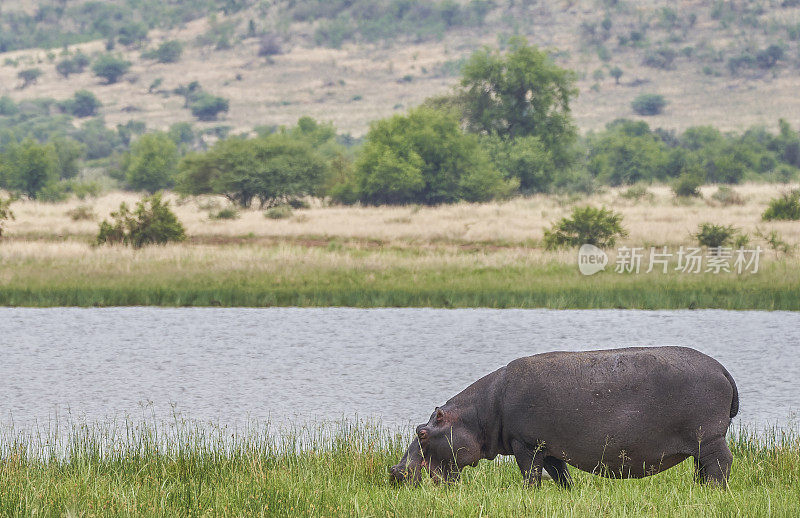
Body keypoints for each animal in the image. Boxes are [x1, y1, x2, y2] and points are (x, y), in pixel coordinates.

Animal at [388, 348, 736, 490]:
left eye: (421, 432)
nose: (395, 473)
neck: (478, 415)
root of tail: (722, 369)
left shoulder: (525, 443)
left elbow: (530, 473)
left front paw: (529, 494)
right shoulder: (549, 446)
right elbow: (560, 475)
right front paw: (567, 493)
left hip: (709, 437)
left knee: (721, 463)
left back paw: (714, 490)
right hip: (700, 443)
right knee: (704, 467)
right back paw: (701, 488)